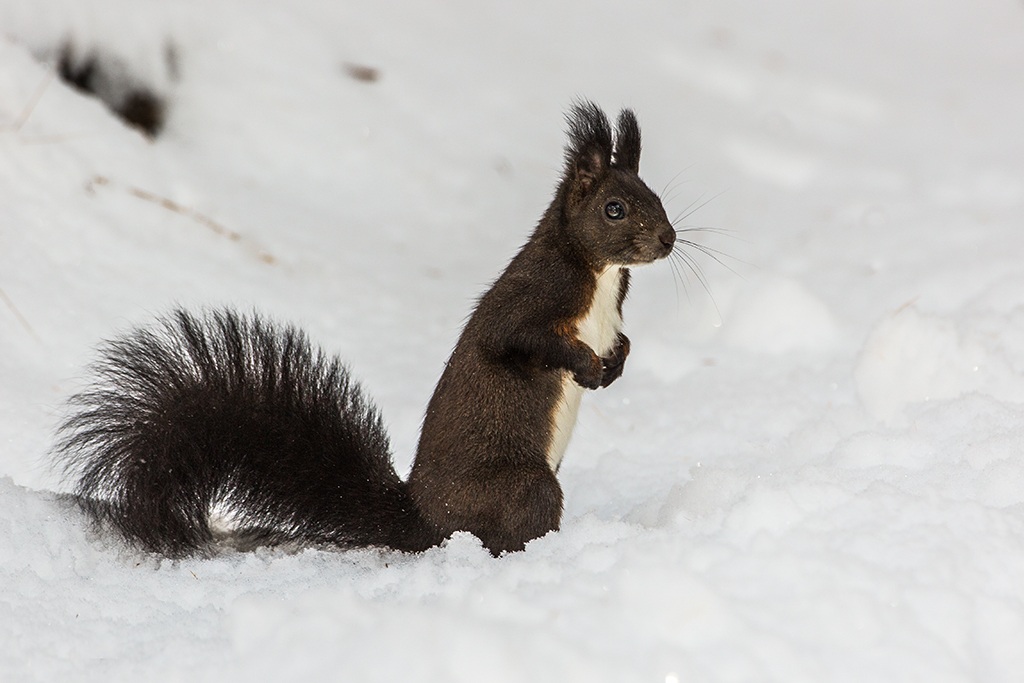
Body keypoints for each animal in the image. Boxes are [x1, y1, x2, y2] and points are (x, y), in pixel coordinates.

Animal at [54, 100, 677, 557]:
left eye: (657, 196)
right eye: (616, 209)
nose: (669, 239)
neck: (600, 276)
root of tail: (422, 520)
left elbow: (624, 340)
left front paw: (614, 365)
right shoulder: (531, 297)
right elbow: (520, 339)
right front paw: (585, 366)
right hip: (523, 486)